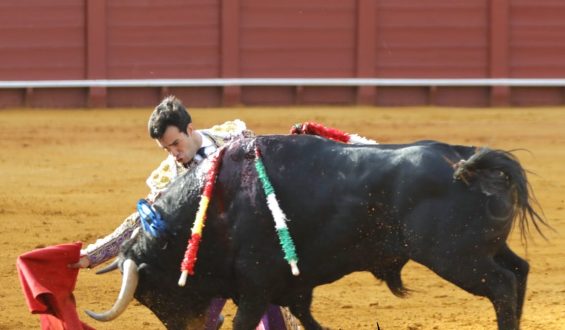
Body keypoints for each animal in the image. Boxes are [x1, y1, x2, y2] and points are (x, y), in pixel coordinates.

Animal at [87, 135, 540, 330]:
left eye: (153, 295)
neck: (216, 205)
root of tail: (468, 161)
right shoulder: (290, 285)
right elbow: (305, 316)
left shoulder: (255, 284)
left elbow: (245, 322)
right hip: (483, 251)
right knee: (519, 271)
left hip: (457, 259)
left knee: (501, 285)